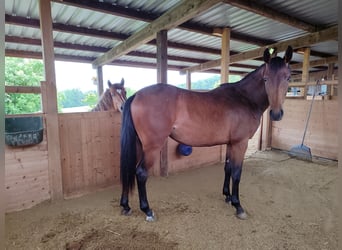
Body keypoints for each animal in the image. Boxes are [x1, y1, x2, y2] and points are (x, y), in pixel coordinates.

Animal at [119, 45, 292, 221]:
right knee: (141, 173)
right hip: (152, 147)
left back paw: (126, 206)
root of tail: (136, 95)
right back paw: (147, 210)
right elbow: (237, 173)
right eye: (266, 79)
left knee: (129, 170)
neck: (243, 98)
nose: (276, 114)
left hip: (139, 144)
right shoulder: (240, 143)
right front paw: (238, 206)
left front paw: (227, 196)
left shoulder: (231, 143)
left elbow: (228, 168)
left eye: (288, 77)